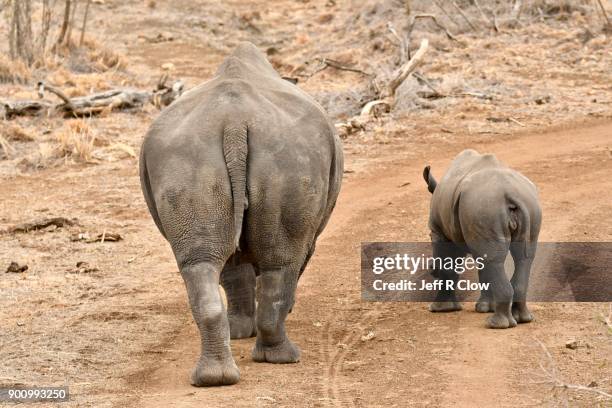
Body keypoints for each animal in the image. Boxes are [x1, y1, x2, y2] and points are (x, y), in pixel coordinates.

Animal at [137, 42, 344, 386]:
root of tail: (233, 122)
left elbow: (234, 273)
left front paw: (240, 331)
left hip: (188, 158)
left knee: (202, 262)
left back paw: (214, 378)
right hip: (288, 157)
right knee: (281, 262)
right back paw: (284, 358)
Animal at [424, 149, 544, 328]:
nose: (431, 268)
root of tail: (510, 192)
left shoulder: (439, 232)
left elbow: (448, 266)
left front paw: (440, 309)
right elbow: (483, 269)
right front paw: (484, 308)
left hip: (485, 206)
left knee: (495, 260)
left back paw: (495, 325)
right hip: (521, 204)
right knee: (520, 258)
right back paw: (522, 319)